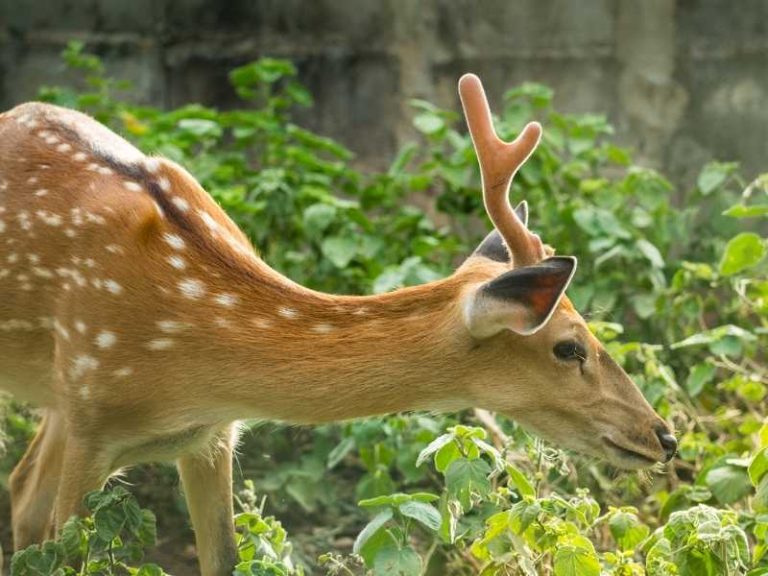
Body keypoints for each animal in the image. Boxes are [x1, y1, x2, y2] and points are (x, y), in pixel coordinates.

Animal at [0, 73, 677, 576]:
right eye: (569, 347)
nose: (664, 436)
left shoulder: (211, 434)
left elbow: (223, 557)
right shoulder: (94, 408)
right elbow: (71, 552)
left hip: (59, 399)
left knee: (23, 489)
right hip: (69, 395)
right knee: (31, 501)